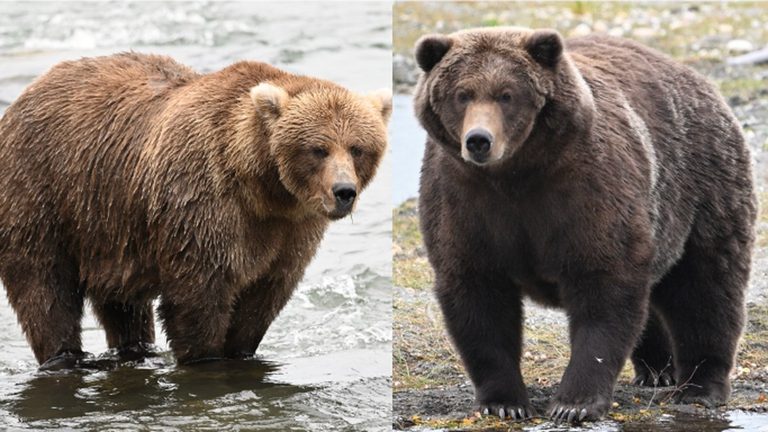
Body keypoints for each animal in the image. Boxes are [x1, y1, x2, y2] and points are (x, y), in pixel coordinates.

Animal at [0, 52, 390, 368]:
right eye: (318, 149)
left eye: (357, 148)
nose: (344, 192)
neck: (261, 187)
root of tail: (26, 93)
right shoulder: (203, 202)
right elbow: (198, 296)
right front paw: (205, 357)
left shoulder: (291, 228)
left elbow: (264, 295)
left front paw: (241, 351)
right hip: (42, 192)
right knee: (44, 288)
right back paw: (63, 356)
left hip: (108, 226)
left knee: (122, 304)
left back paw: (135, 350)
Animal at [414, 27, 755, 424]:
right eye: (462, 94)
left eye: (507, 94)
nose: (479, 140)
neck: (515, 174)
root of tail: (699, 80)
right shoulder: (463, 200)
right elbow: (478, 295)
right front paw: (505, 402)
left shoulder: (586, 189)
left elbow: (604, 285)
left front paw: (573, 403)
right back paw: (657, 369)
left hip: (702, 190)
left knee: (707, 287)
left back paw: (700, 387)